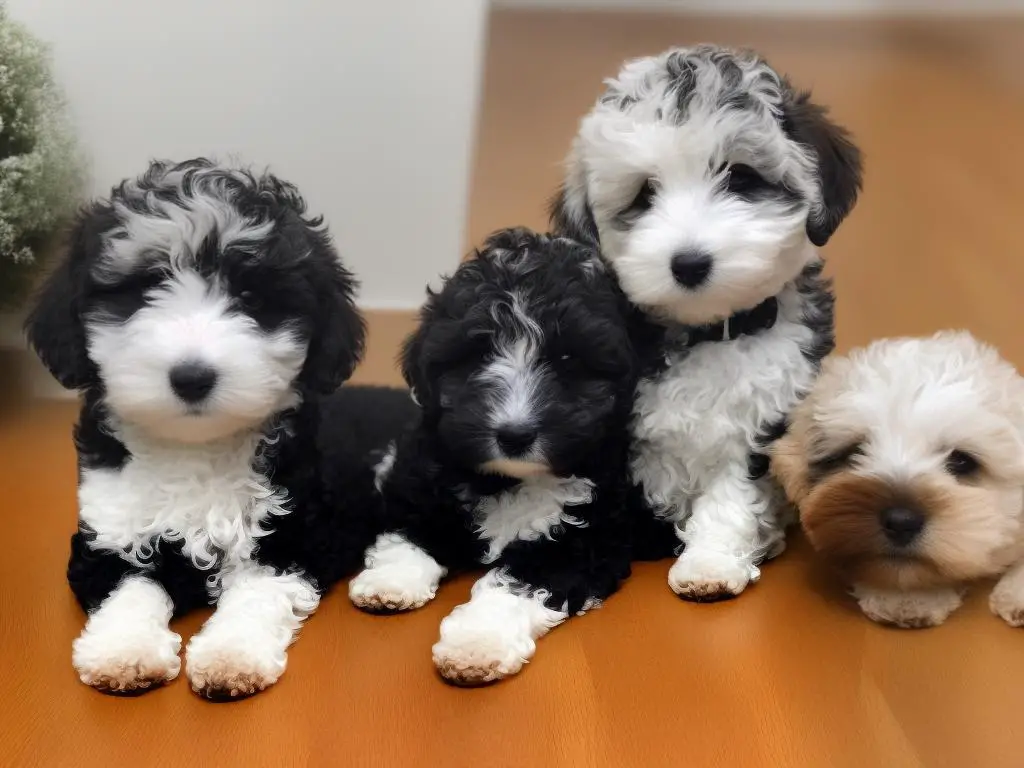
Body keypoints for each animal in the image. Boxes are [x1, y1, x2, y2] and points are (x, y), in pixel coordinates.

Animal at [20, 159, 411, 700]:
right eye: (145, 289)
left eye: (248, 296)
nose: (191, 377)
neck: (195, 448)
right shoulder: (109, 527)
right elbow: (128, 586)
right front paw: (125, 651)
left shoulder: (293, 533)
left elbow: (257, 592)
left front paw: (233, 654)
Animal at [344, 227, 647, 684]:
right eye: (479, 354)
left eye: (567, 358)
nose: (514, 434)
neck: (508, 477)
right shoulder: (424, 479)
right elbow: (410, 530)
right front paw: (390, 581)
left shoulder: (578, 545)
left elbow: (515, 585)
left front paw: (476, 643)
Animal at [552, 45, 864, 606]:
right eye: (644, 195)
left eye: (739, 178)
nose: (689, 263)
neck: (710, 333)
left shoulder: (766, 424)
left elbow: (732, 497)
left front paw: (711, 562)